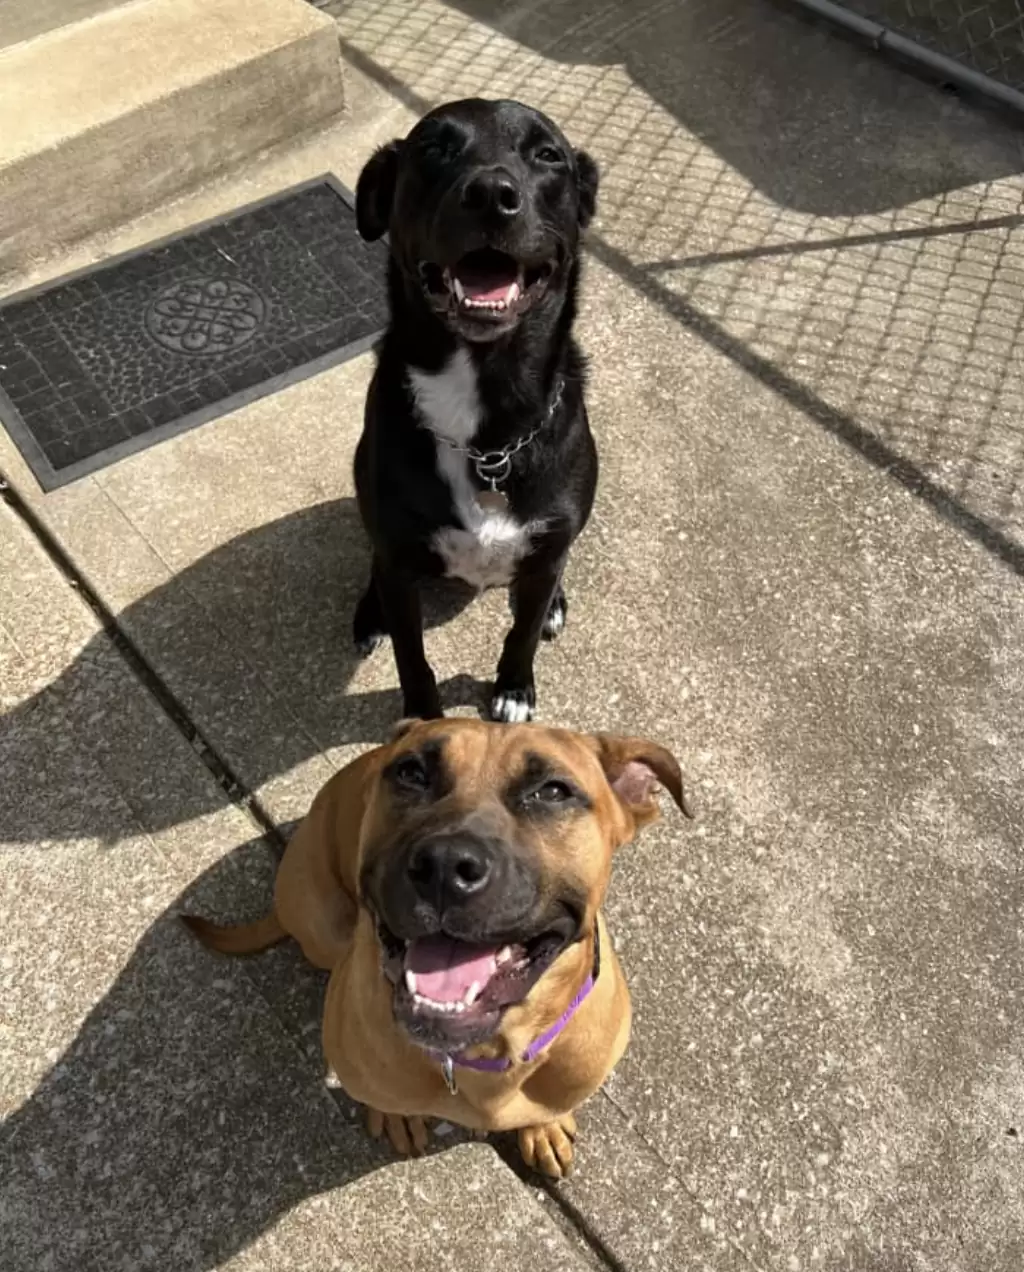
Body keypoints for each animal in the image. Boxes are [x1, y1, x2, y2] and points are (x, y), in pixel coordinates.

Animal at [184, 722, 697, 1175]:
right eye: (412, 772)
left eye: (553, 792)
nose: (445, 865)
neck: (493, 1048)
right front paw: (395, 1114)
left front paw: (543, 1127)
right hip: (322, 922)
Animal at [353, 96, 600, 727]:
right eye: (434, 149)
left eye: (548, 155)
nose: (491, 193)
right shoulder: (398, 562)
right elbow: (412, 657)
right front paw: (423, 717)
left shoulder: (544, 552)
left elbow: (523, 632)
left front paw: (514, 688)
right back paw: (369, 612)